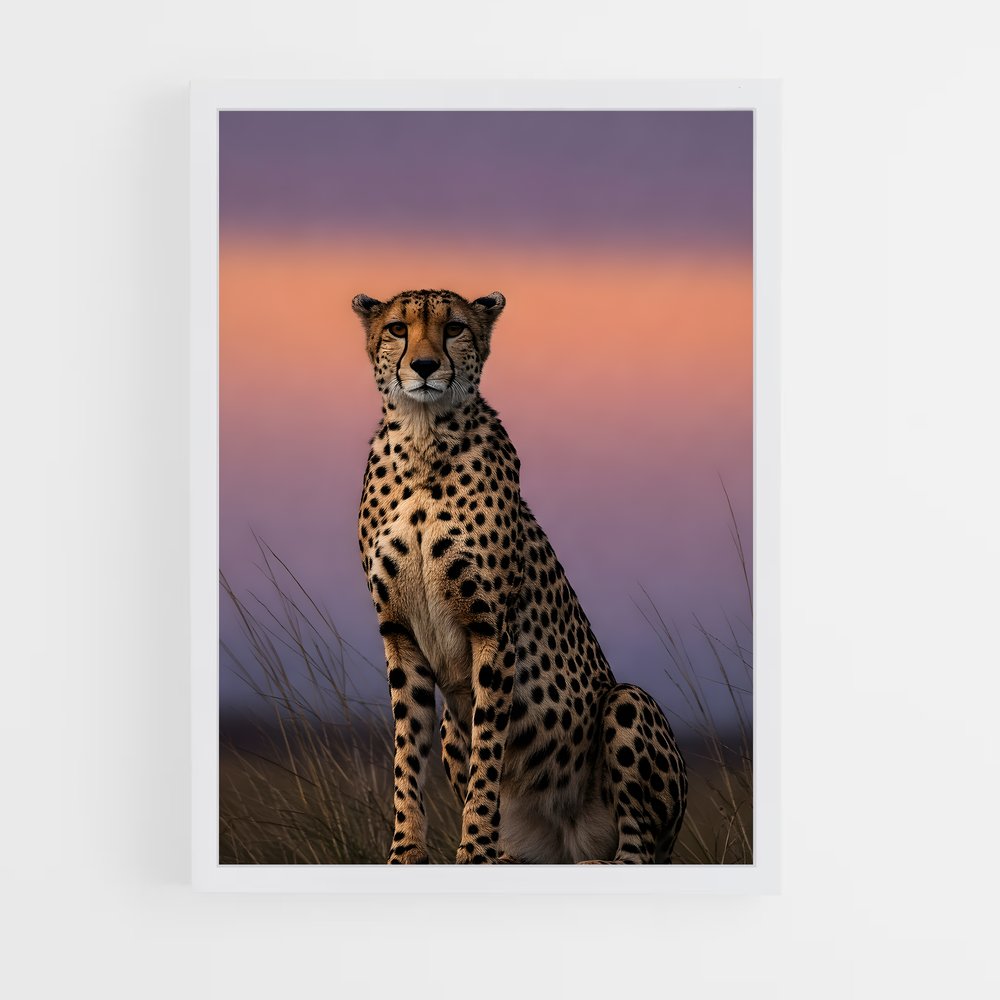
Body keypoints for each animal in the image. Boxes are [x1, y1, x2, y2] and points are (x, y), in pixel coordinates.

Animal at [352, 287, 687, 864]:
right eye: (398, 328)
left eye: (455, 328)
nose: (424, 366)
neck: (422, 441)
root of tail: (567, 845)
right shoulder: (399, 634)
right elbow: (406, 753)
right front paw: (405, 850)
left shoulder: (491, 629)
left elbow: (488, 750)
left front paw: (475, 849)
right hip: (454, 727)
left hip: (627, 703)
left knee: (639, 852)